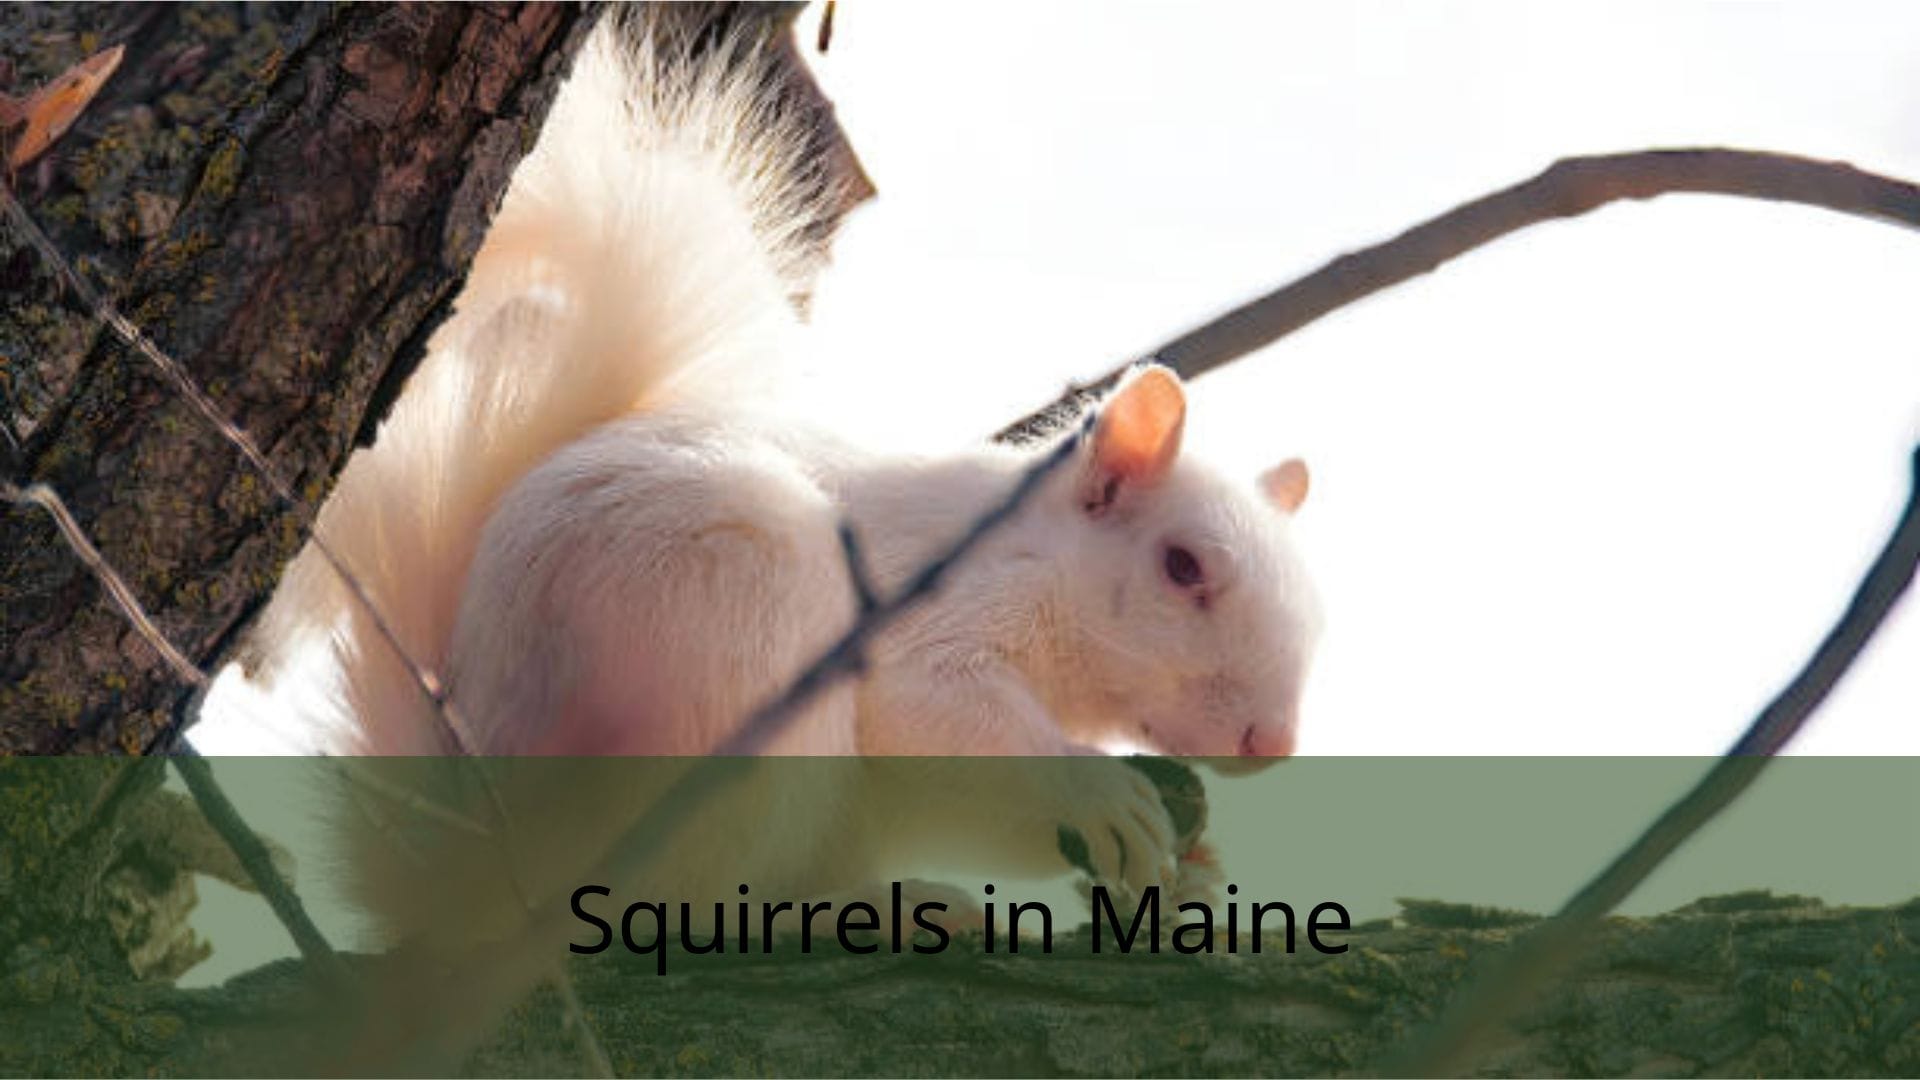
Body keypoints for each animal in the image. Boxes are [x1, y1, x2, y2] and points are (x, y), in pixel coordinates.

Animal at [239, 4, 1322, 991]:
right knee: (678, 904)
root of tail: (485, 873)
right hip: (733, 655)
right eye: (1183, 568)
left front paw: (1195, 870)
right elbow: (930, 715)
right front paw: (1098, 794)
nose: (1274, 744)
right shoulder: (937, 609)